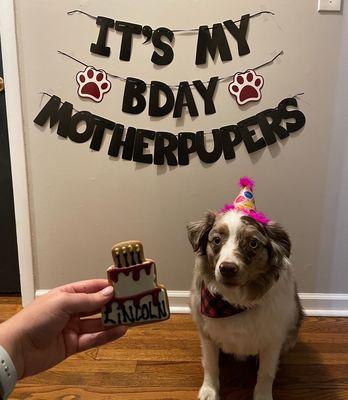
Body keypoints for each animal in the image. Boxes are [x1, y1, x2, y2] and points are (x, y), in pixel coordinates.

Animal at [186, 206, 304, 400]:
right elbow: (211, 365)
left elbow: (266, 373)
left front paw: (263, 396)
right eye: (216, 240)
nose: (227, 268)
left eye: (253, 243)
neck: (235, 303)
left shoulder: (273, 339)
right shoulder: (207, 334)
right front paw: (209, 391)